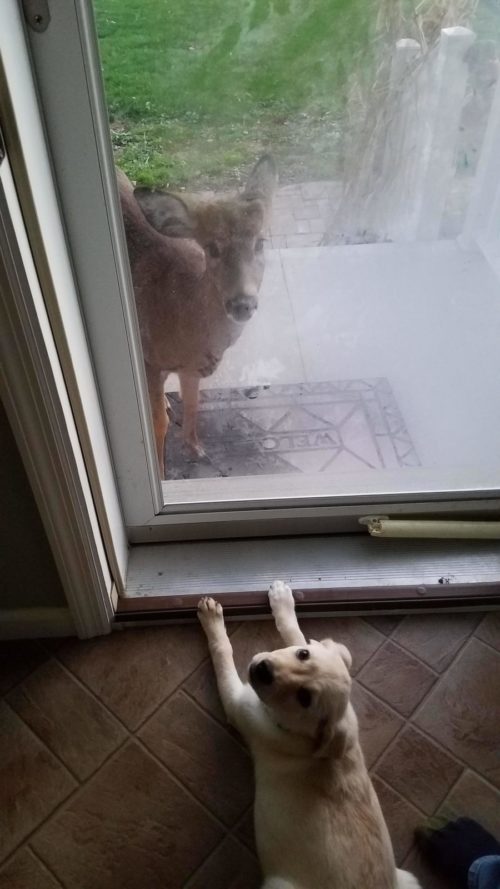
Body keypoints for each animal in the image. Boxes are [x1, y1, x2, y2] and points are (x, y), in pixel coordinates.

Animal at [117, 159, 278, 478]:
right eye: (212, 248)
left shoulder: (190, 369)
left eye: (260, 242)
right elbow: (157, 423)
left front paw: (196, 449)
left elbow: (193, 403)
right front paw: (162, 474)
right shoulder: (148, 358)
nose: (242, 304)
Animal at [198, 584, 422, 888]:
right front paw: (282, 601)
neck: (297, 731)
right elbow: (295, 631)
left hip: (279, 884)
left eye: (305, 698)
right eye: (303, 654)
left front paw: (212, 621)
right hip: (409, 878)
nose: (262, 669)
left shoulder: (239, 705)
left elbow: (223, 650)